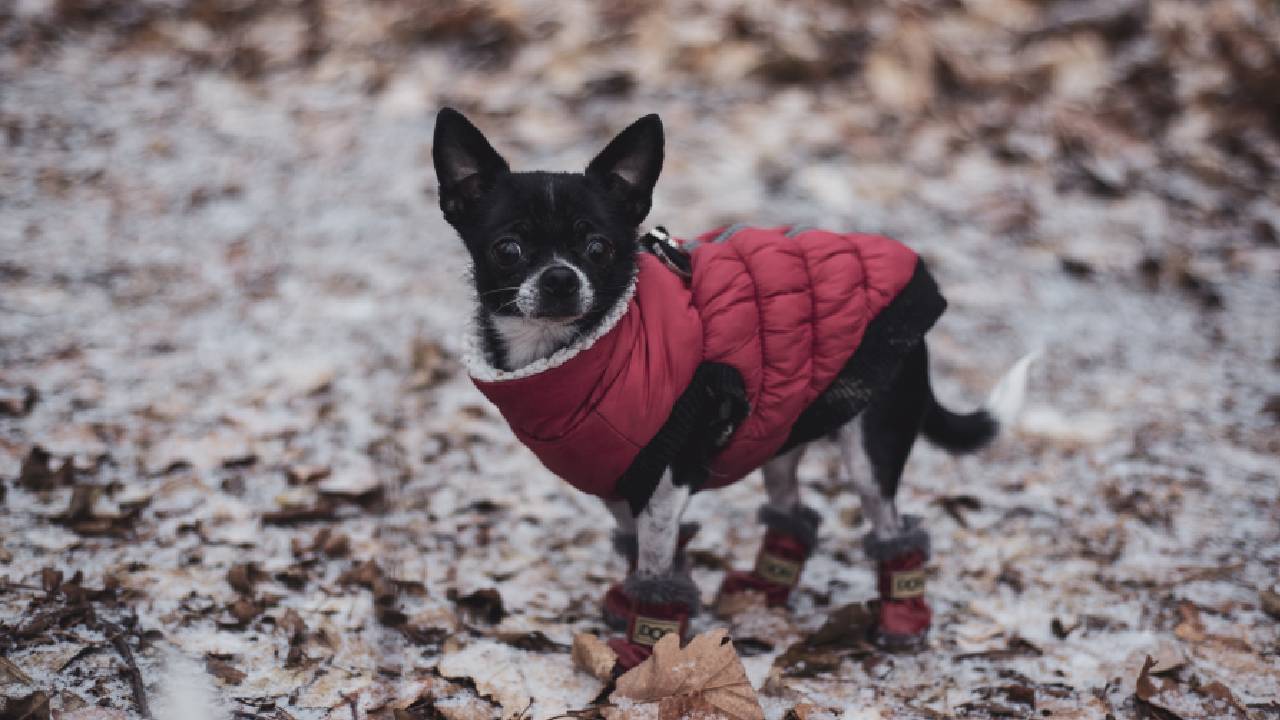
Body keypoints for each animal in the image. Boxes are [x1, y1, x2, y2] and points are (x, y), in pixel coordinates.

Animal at [435, 106, 1034, 666]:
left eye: (599, 248)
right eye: (508, 249)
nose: (560, 277)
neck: (583, 353)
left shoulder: (664, 477)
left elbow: (656, 563)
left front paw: (644, 650)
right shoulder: (620, 479)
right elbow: (646, 551)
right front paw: (635, 613)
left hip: (871, 448)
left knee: (888, 522)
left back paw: (901, 617)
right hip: (780, 432)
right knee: (791, 510)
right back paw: (764, 590)